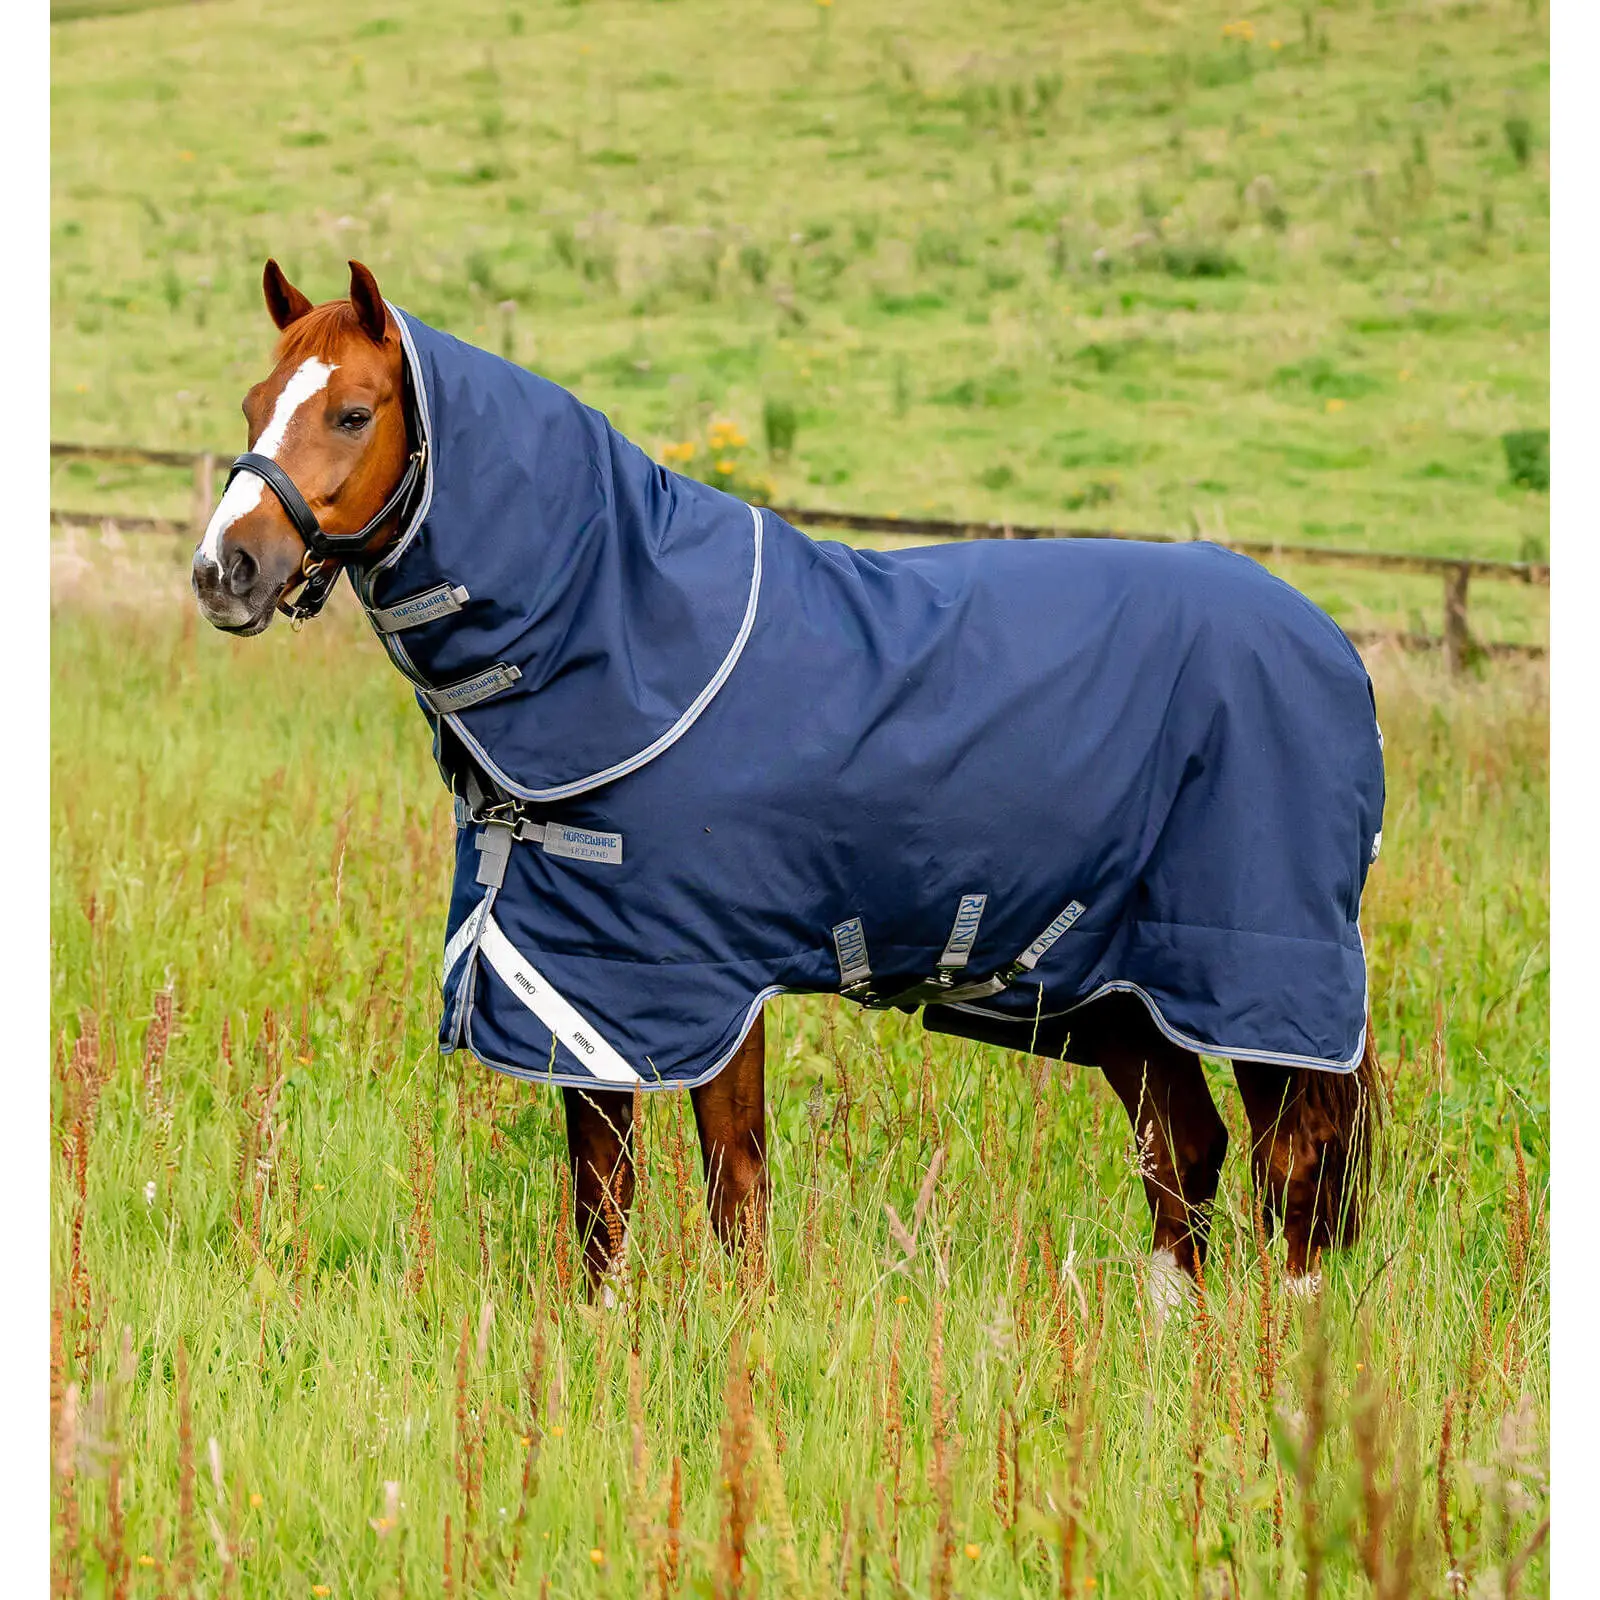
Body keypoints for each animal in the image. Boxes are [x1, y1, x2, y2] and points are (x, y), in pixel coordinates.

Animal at [192, 259, 1383, 1306]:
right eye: (254, 402)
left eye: (353, 412)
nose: (223, 572)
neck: (629, 632)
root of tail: (1327, 641)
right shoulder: (578, 981)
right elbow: (601, 1196)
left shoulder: (701, 982)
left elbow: (732, 1188)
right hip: (1125, 988)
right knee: (1184, 1151)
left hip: (1259, 976)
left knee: (1297, 1160)